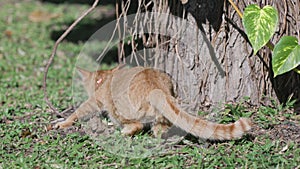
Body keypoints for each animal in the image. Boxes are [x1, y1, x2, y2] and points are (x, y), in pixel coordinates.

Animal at [54, 66, 251, 140]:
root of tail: (156, 88)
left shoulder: (96, 101)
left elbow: (78, 111)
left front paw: (62, 123)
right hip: (162, 115)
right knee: (159, 130)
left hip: (118, 107)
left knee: (137, 125)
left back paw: (122, 132)